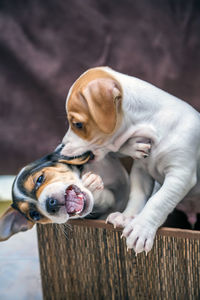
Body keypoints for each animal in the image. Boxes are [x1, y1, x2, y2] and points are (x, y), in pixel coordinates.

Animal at [60, 66, 200, 253]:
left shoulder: (180, 176)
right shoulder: (141, 171)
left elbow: (158, 201)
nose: (61, 147)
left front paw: (141, 228)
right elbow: (137, 196)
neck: (154, 126)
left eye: (78, 124)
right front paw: (127, 217)